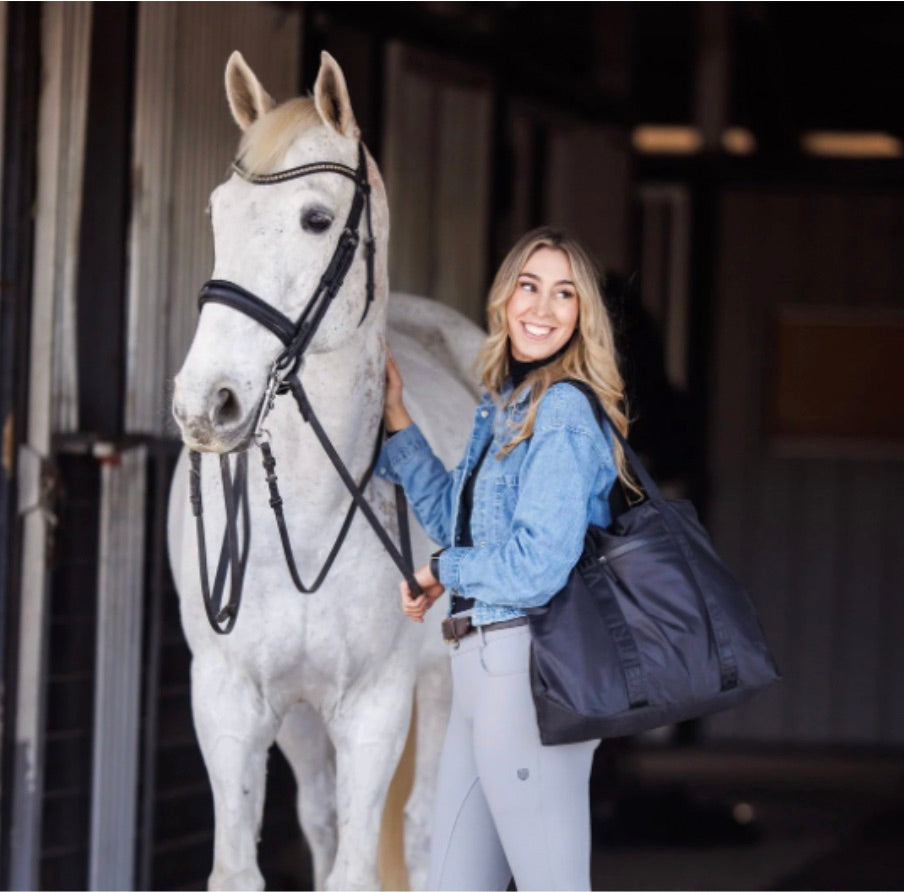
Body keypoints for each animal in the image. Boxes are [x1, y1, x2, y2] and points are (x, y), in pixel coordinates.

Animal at [167, 50, 484, 890]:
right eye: (218, 213)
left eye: (314, 219)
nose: (206, 403)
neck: (306, 521)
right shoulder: (229, 701)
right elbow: (240, 868)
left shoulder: (377, 707)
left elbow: (358, 868)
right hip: (304, 722)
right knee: (321, 817)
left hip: (441, 691)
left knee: (423, 827)